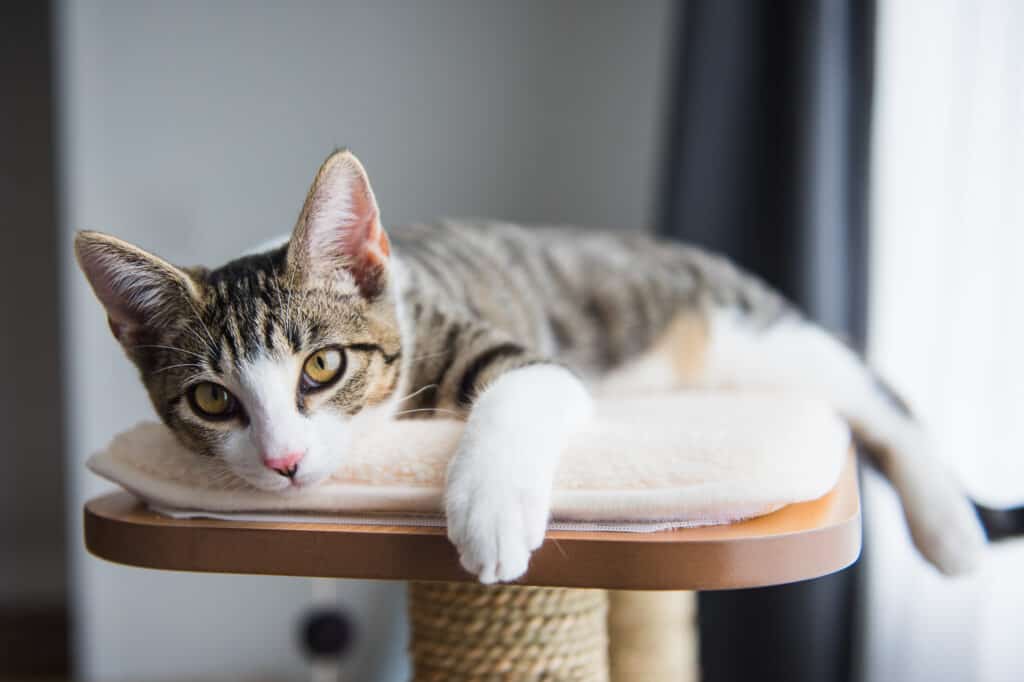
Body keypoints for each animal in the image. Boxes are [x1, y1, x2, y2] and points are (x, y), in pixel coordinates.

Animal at [74, 147, 983, 577]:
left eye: (322, 368)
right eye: (212, 401)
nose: (285, 462)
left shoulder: (501, 344)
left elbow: (524, 390)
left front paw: (490, 512)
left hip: (746, 337)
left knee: (874, 394)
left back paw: (949, 528)